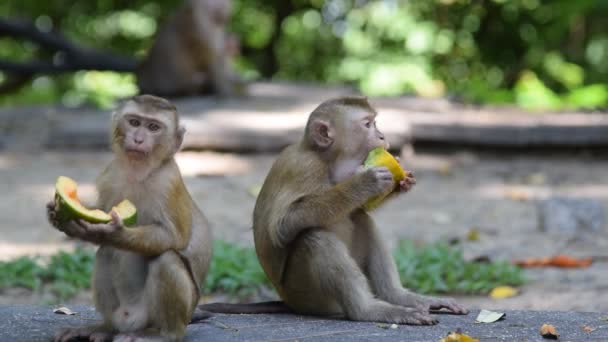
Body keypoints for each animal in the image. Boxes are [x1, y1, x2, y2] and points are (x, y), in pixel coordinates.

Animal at [47, 94, 211, 342]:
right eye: (134, 122)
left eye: (153, 127)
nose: (138, 138)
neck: (137, 172)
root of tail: (129, 320)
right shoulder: (110, 174)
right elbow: (102, 210)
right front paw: (63, 218)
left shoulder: (168, 182)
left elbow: (173, 237)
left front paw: (114, 232)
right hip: (121, 313)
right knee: (105, 253)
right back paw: (105, 328)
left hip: (158, 314)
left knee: (166, 260)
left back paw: (163, 334)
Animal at [247, 96, 470, 324]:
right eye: (367, 124)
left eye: (375, 123)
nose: (382, 136)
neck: (326, 160)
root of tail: (290, 302)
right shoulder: (304, 168)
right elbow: (282, 227)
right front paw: (364, 182)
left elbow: (361, 208)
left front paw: (401, 184)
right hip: (308, 295)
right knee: (315, 238)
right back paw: (368, 309)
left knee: (361, 218)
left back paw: (400, 297)